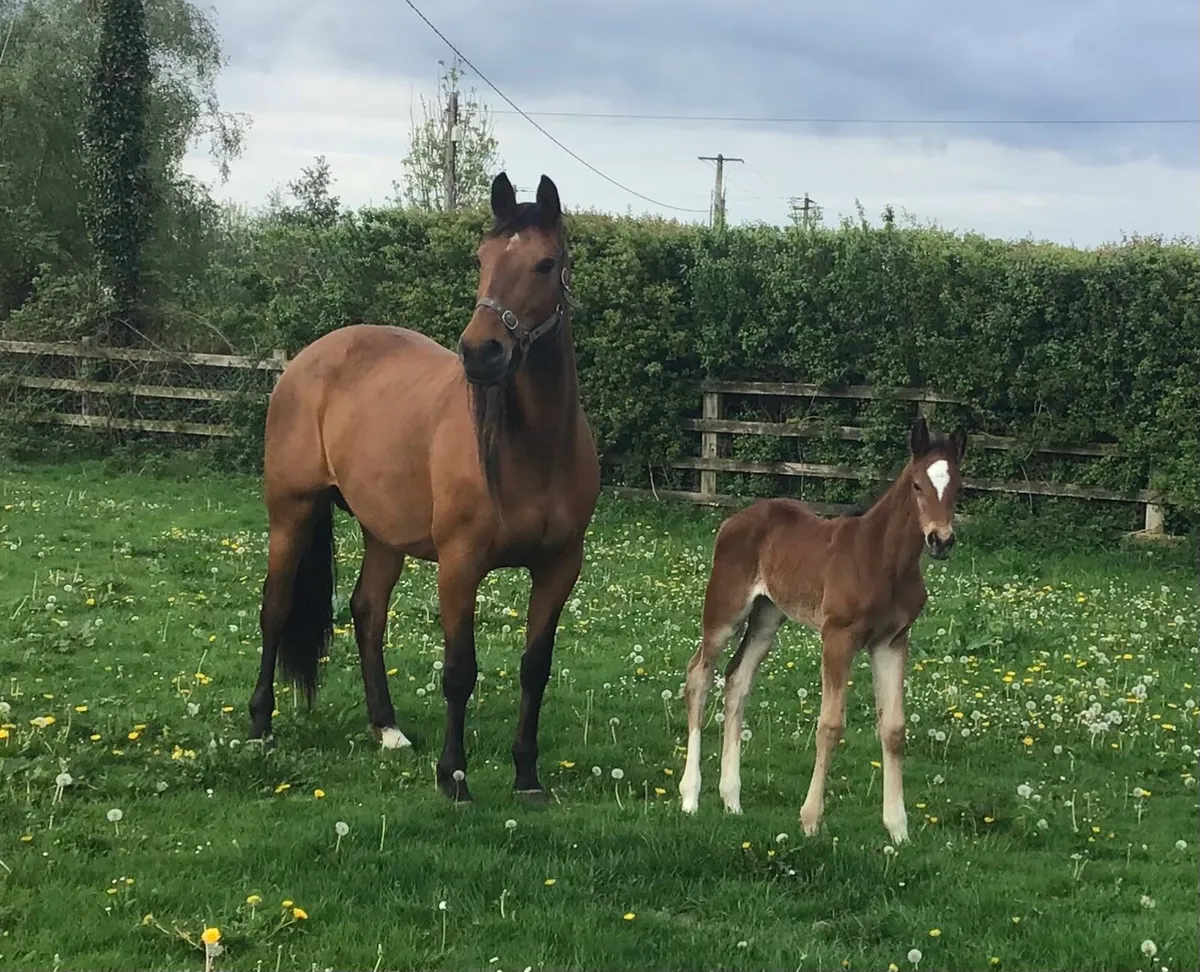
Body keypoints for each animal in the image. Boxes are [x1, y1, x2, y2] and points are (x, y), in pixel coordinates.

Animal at [247, 172, 600, 803]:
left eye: (545, 264)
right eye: (482, 257)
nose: (481, 353)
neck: (534, 448)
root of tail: (309, 358)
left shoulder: (560, 567)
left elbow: (535, 667)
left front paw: (526, 775)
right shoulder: (460, 565)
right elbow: (459, 670)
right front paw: (453, 776)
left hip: (383, 533)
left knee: (367, 613)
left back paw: (386, 728)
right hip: (291, 512)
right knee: (276, 607)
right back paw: (261, 724)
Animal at [678, 416, 967, 842]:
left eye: (958, 486)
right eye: (917, 484)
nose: (941, 540)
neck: (883, 559)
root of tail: (732, 520)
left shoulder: (892, 642)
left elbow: (894, 728)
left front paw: (898, 830)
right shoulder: (838, 636)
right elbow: (830, 724)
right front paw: (810, 820)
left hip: (767, 617)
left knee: (737, 679)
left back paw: (732, 800)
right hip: (725, 611)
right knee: (699, 675)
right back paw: (690, 797)